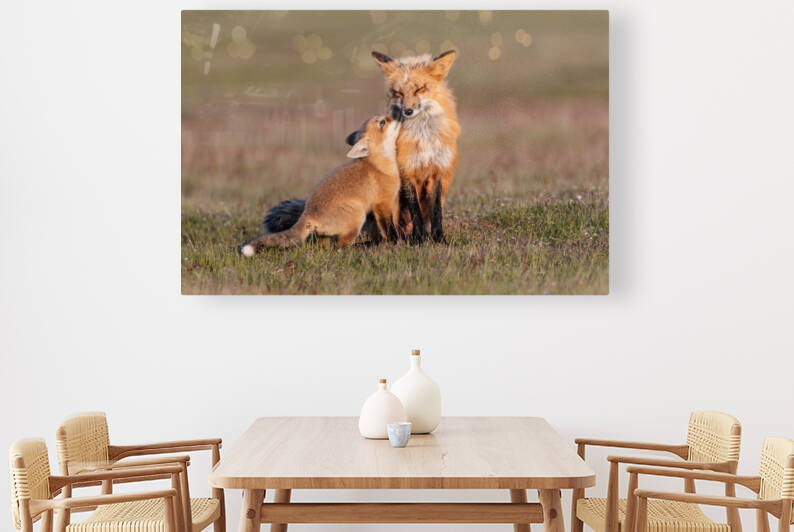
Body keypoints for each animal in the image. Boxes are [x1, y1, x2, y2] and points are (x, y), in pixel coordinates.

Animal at [239, 114, 400, 255]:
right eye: (382, 122)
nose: (399, 112)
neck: (378, 165)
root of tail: (308, 214)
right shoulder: (382, 203)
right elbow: (388, 227)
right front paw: (393, 241)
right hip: (358, 215)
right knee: (341, 245)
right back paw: (360, 247)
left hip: (327, 233)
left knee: (322, 245)